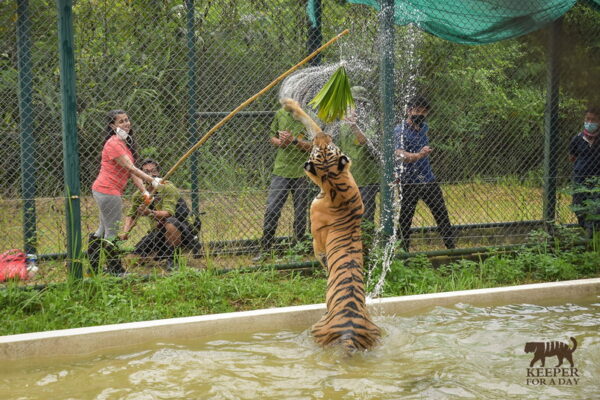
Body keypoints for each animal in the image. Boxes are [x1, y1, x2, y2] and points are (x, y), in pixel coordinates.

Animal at [280, 97, 382, 354]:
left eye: (323, 148)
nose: (324, 136)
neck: (335, 184)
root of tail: (349, 334)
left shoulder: (316, 232)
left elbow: (319, 250)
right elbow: (310, 121)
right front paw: (291, 105)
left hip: (316, 331)